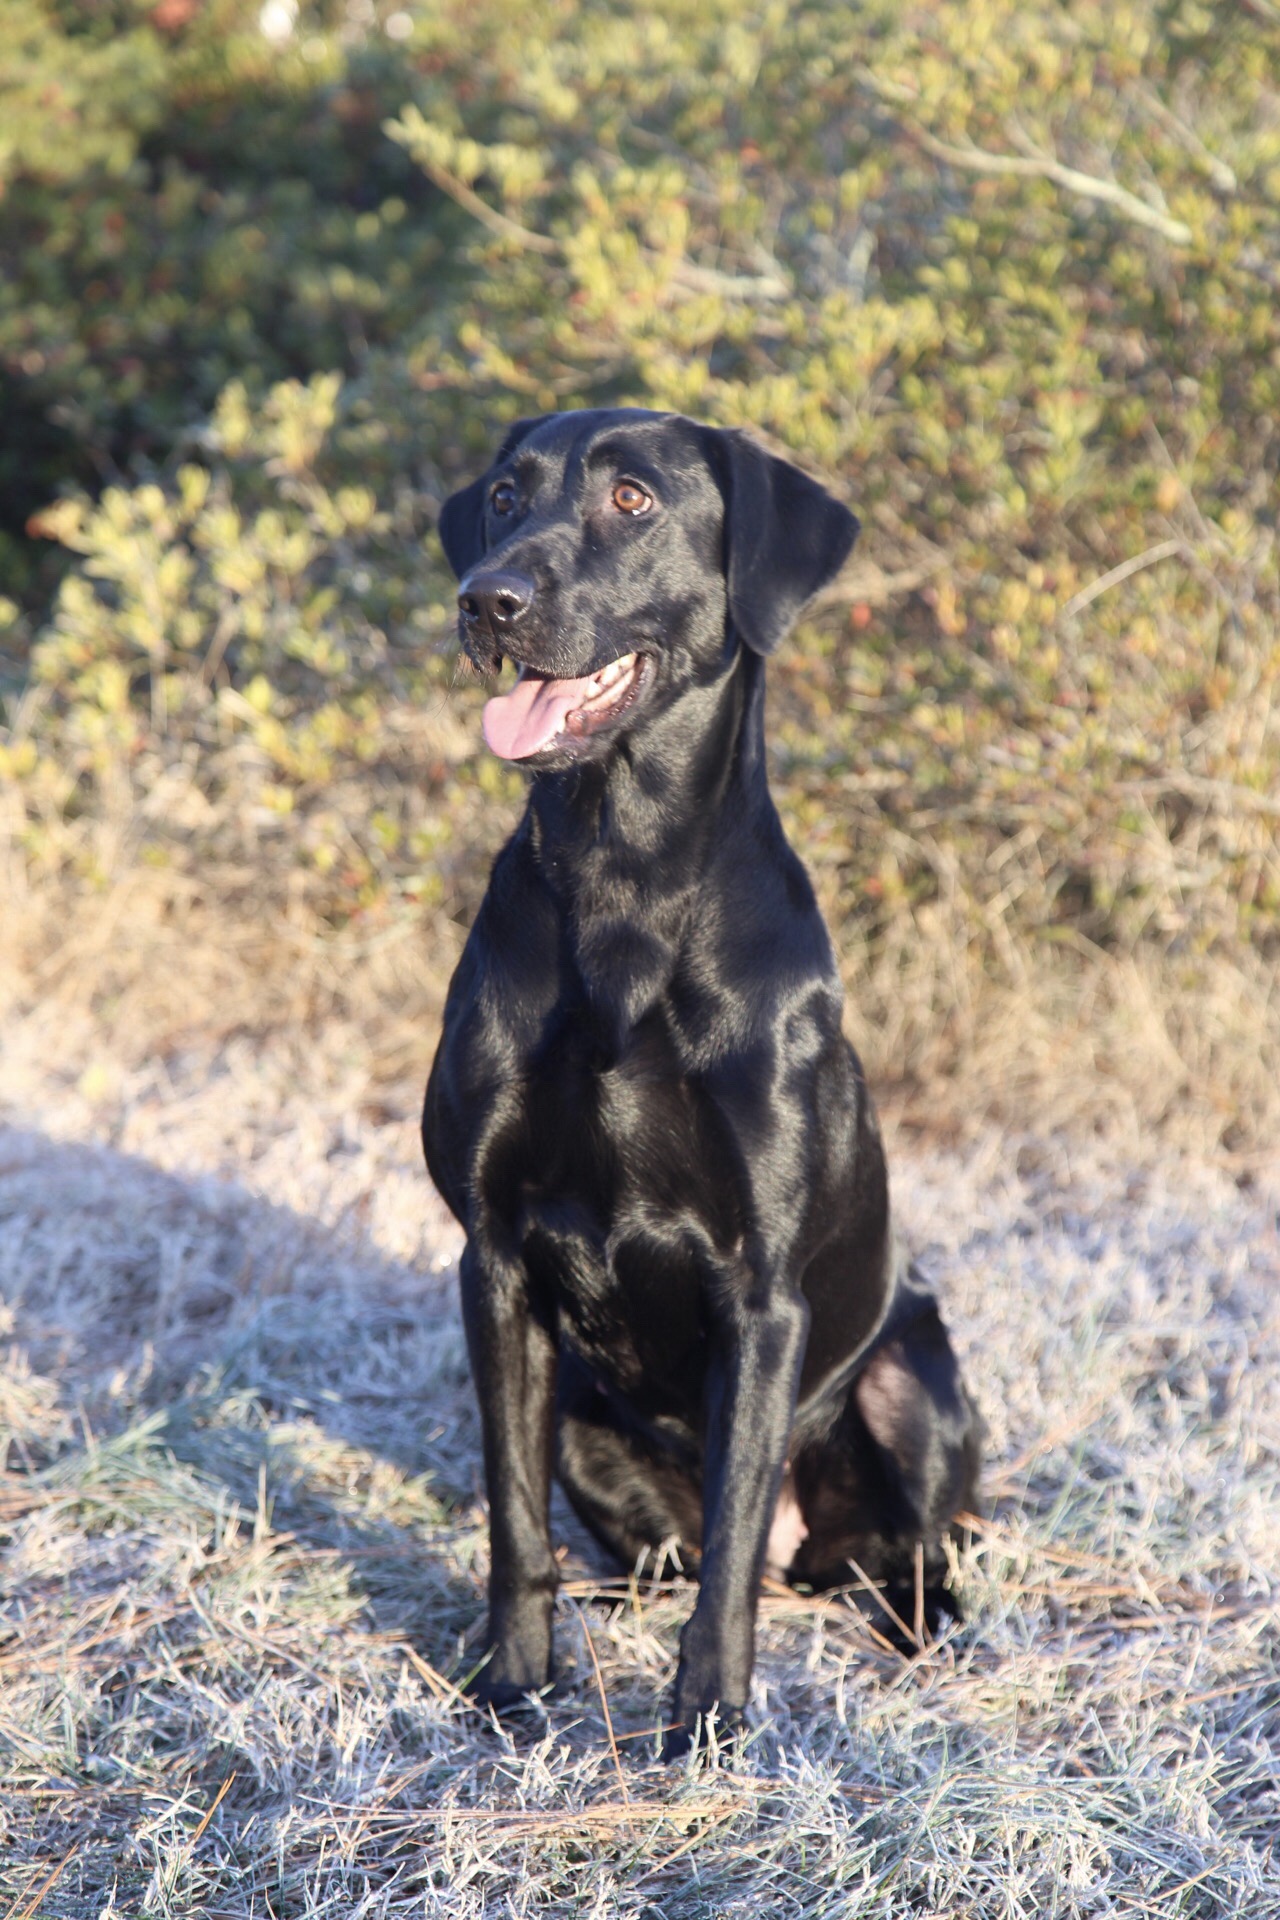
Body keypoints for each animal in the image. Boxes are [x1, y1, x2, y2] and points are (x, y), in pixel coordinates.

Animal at [422, 405, 982, 1758]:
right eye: (505, 495)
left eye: (631, 498)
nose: (485, 599)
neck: (621, 875)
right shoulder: (492, 1261)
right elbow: (510, 1518)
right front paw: (513, 1686)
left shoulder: (763, 1294)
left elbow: (732, 1538)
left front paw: (707, 1728)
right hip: (583, 1407)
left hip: (912, 1376)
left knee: (904, 1546)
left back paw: (924, 1629)